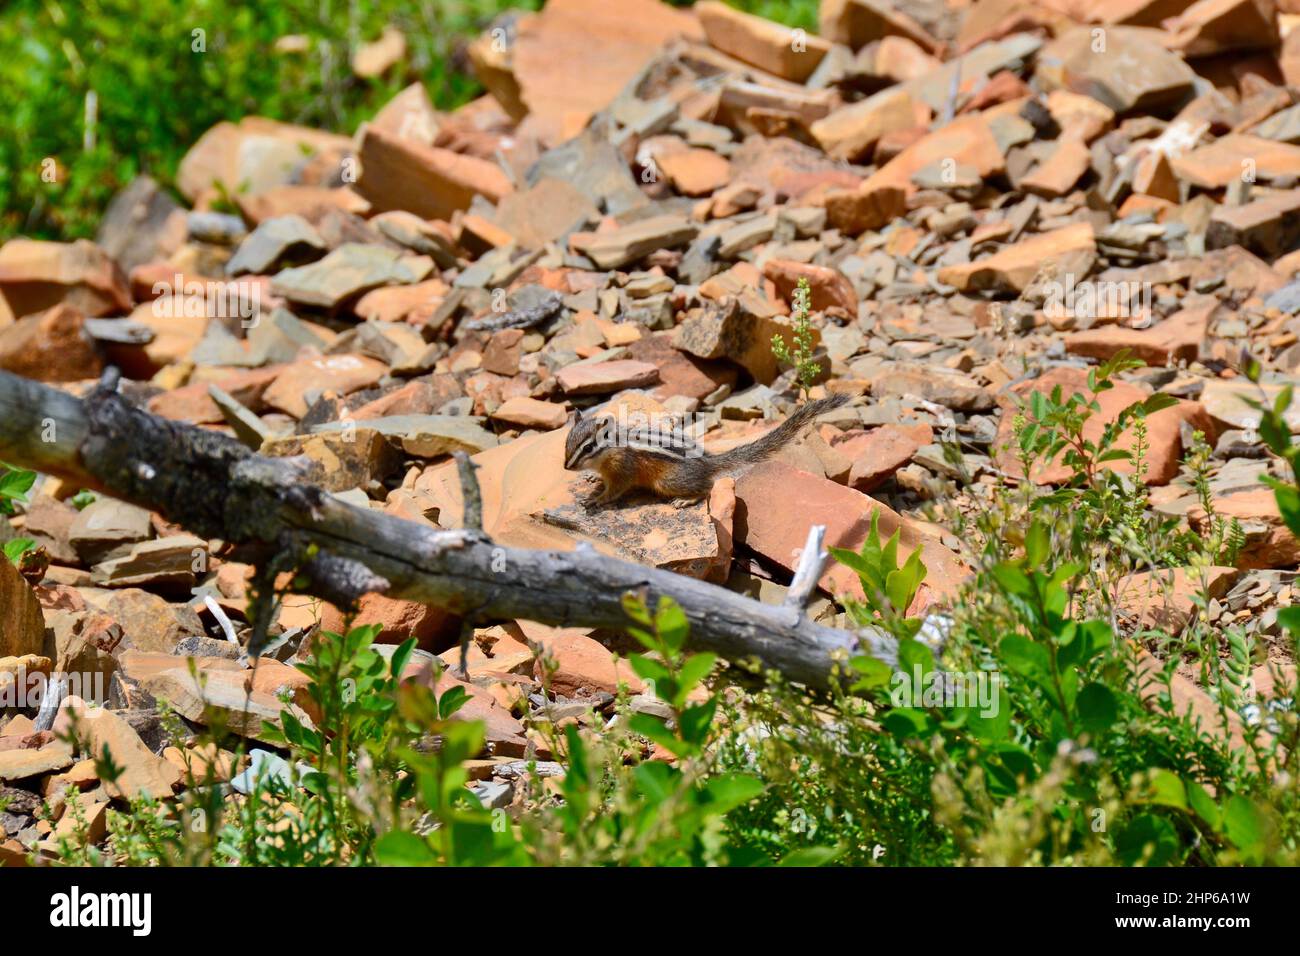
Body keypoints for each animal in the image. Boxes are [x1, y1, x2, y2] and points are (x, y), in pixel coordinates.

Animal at [563, 393, 848, 506]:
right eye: (567, 442)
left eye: (588, 447)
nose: (566, 467)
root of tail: (708, 461)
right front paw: (591, 479)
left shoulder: (623, 469)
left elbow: (615, 491)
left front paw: (596, 500)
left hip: (668, 481)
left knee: (708, 487)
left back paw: (687, 499)